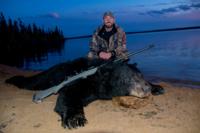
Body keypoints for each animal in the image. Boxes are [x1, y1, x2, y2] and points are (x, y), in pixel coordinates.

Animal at [5, 57, 164, 129]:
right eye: (129, 78)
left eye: (141, 76)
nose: (146, 89)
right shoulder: (83, 82)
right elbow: (68, 95)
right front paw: (75, 119)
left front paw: (157, 87)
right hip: (50, 76)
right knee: (33, 82)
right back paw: (11, 79)